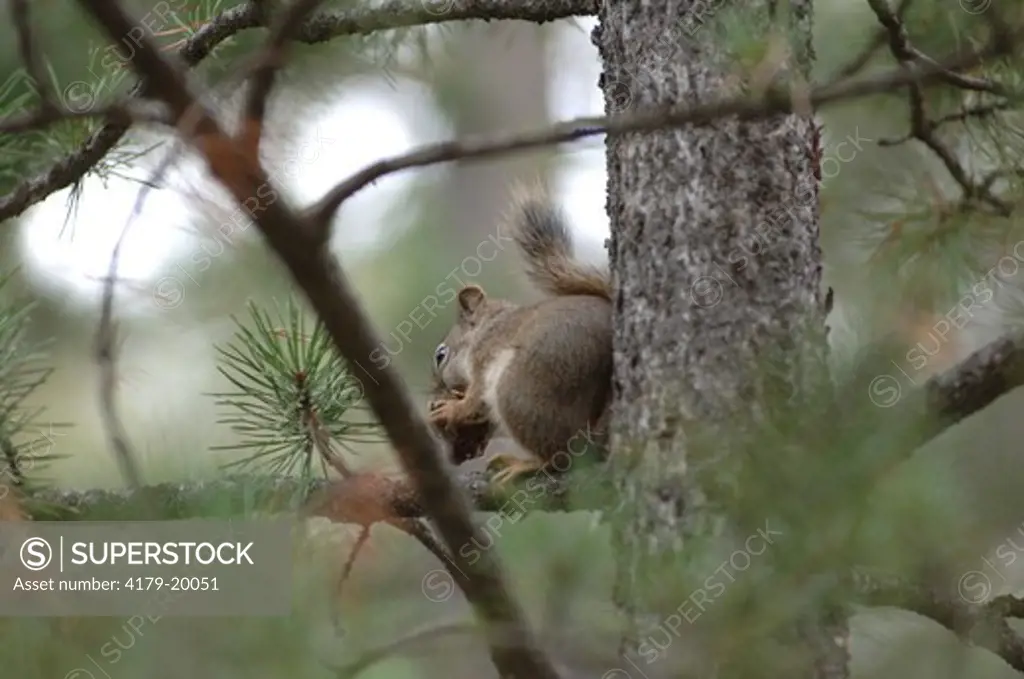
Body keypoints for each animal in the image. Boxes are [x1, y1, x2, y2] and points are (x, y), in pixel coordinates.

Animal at [428, 191, 610, 485]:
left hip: (519, 390)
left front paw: (451, 409)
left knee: (560, 457)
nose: (438, 391)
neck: (487, 327)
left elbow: (476, 401)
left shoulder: (486, 353)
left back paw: (524, 465)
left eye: (440, 356)